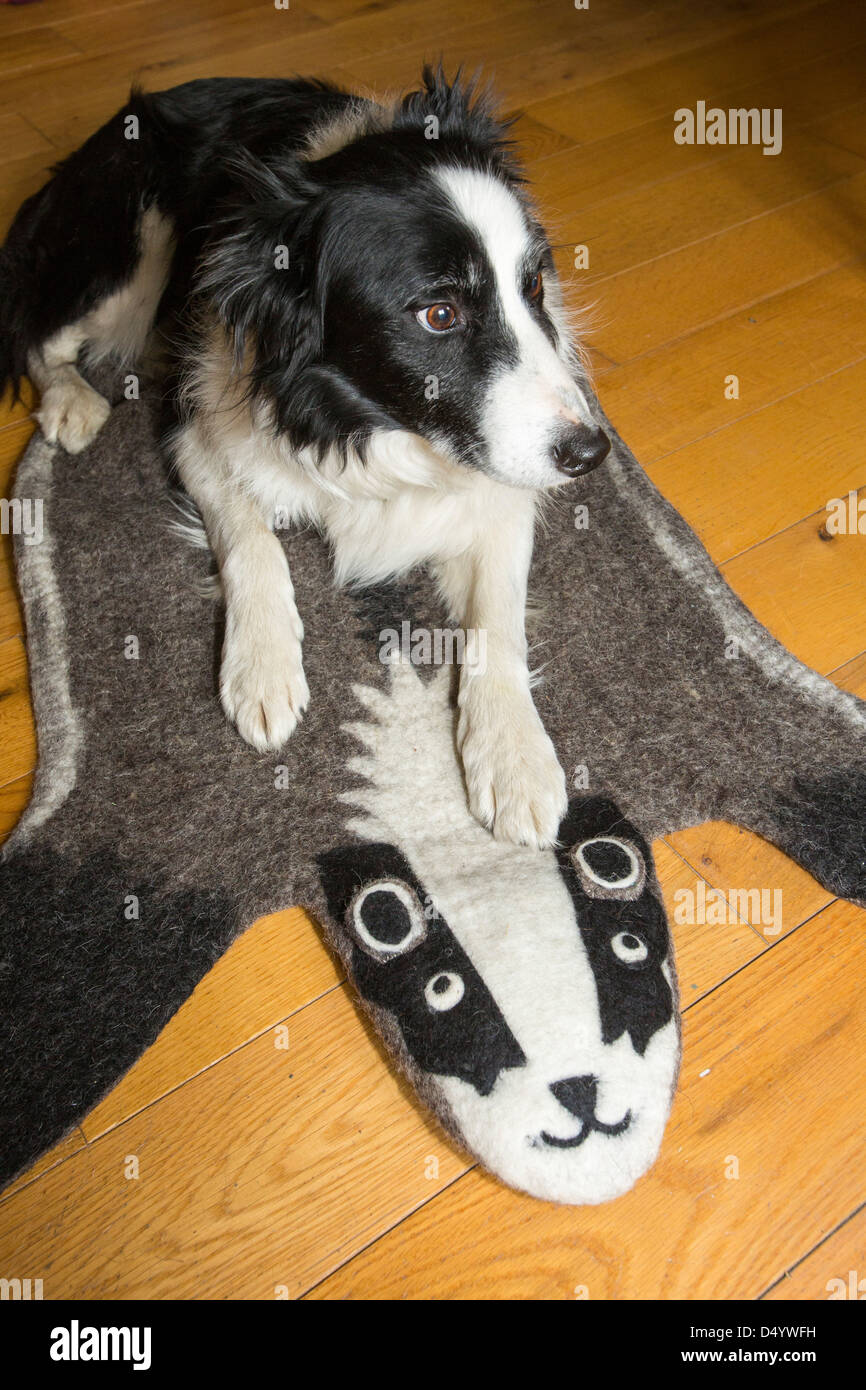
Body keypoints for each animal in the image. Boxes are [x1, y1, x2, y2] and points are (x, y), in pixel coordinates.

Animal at [1, 70, 608, 850]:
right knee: (38, 332)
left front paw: (515, 754)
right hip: (127, 244)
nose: (592, 452)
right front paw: (262, 670)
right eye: (440, 314)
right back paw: (71, 402)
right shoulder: (195, 424)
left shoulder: (499, 479)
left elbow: (498, 615)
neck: (364, 424)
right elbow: (253, 541)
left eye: (532, 285)